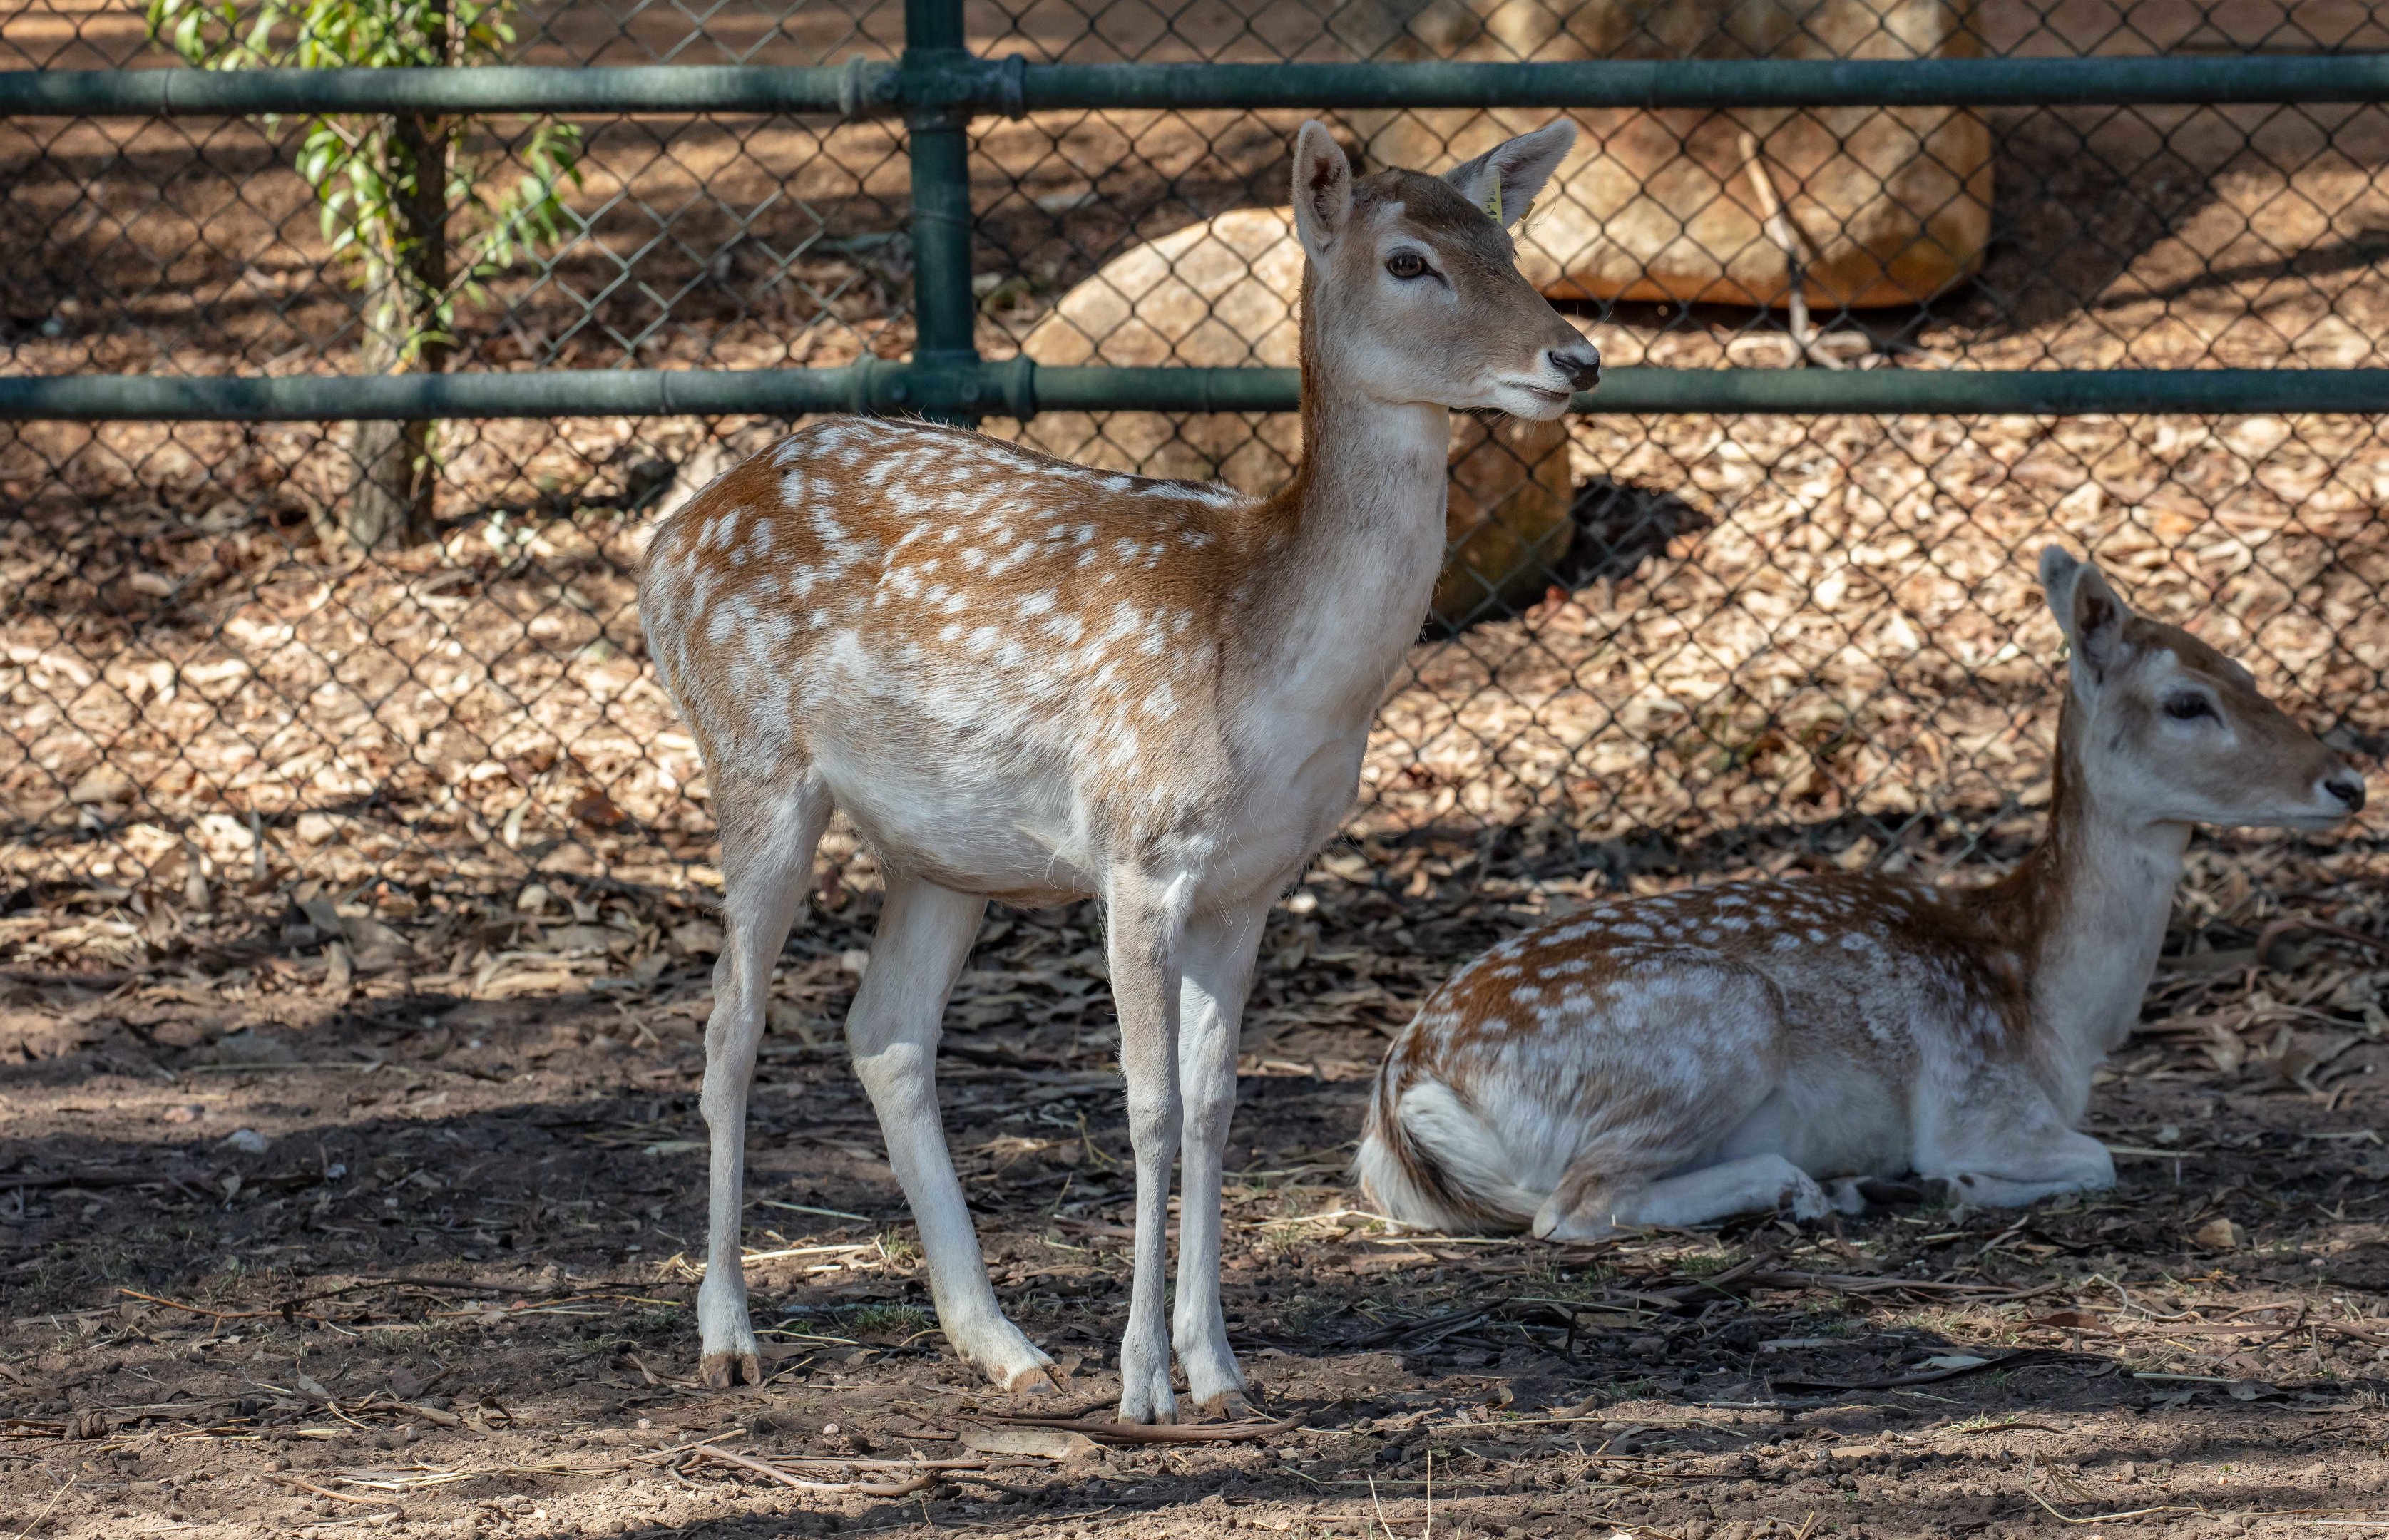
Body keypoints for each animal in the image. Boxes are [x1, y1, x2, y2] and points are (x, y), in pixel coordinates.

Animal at [637, 118, 1602, 1421]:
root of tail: (665, 543)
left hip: (941, 848)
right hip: (752, 759)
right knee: (728, 1030)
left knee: (883, 1031)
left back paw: (1003, 1345)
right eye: (1410, 260)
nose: (1576, 357)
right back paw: (729, 1336)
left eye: (1507, 243)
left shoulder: (1251, 885)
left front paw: (1222, 1373)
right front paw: (1145, 1384)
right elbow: (1147, 1107)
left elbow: (1214, 1108)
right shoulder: (1137, 855)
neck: (1265, 659)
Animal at [1358, 547, 2368, 1240]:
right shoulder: (1976, 1103)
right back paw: (1806, 1186)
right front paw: (1956, 1185)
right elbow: (2098, 1157)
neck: (2052, 1015)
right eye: (2185, 702)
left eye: (2245, 672)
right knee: (1571, 1207)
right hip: (1715, 1023)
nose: (2345, 783)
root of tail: (1406, 1093)